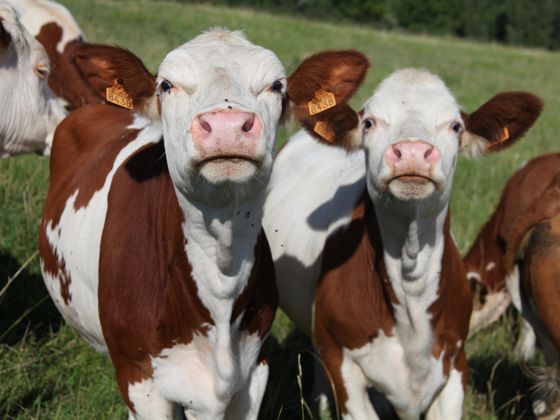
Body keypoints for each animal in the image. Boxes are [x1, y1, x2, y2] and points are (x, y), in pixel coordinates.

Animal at [38, 28, 369, 419]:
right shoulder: (140, 378)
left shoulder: (253, 375)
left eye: (277, 86)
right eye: (166, 85)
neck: (220, 272)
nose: (228, 126)